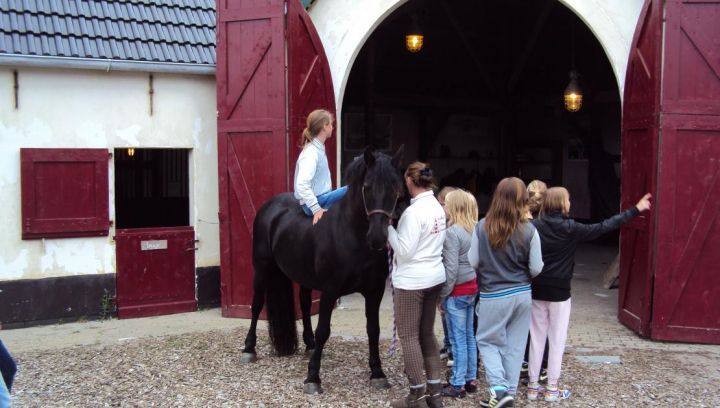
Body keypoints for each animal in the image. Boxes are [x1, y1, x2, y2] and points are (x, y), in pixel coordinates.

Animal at [238, 146, 402, 392]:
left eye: (395, 188)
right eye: (367, 187)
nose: (377, 238)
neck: (352, 236)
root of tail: (270, 207)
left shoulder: (375, 291)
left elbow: (373, 329)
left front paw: (377, 373)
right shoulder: (330, 291)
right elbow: (324, 330)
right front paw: (313, 378)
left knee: (305, 305)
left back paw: (309, 346)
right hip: (262, 268)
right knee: (257, 305)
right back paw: (249, 349)